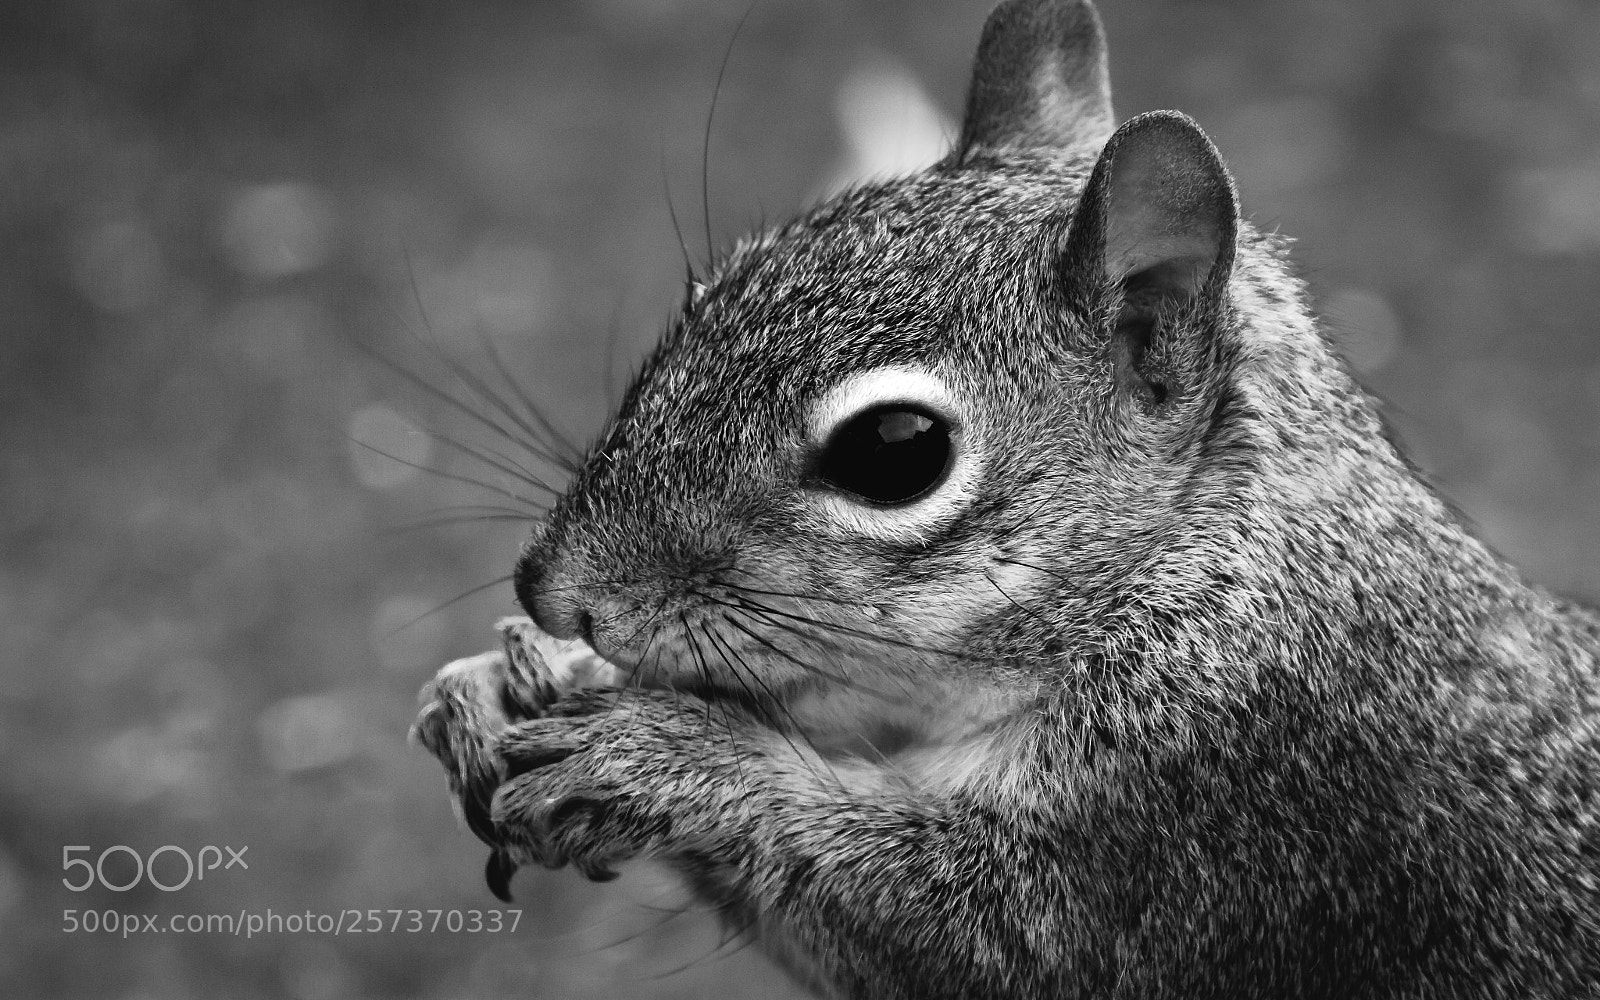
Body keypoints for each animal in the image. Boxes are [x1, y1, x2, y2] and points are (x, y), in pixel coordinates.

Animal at [415, 0, 1600, 996]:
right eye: (711, 292)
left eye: (896, 451)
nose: (553, 592)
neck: (1198, 565)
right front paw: (510, 682)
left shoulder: (1212, 813)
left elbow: (965, 933)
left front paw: (658, 755)